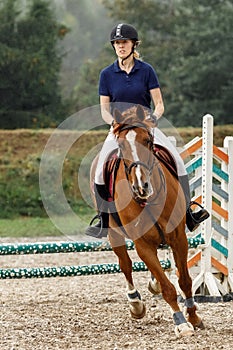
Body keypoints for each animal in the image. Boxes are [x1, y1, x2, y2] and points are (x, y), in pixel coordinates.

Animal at [90, 105, 203, 338]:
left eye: (148, 141)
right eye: (121, 145)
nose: (141, 186)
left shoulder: (179, 238)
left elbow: (185, 281)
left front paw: (193, 317)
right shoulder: (142, 244)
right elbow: (168, 287)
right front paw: (180, 323)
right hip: (114, 234)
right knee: (125, 265)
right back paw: (136, 304)